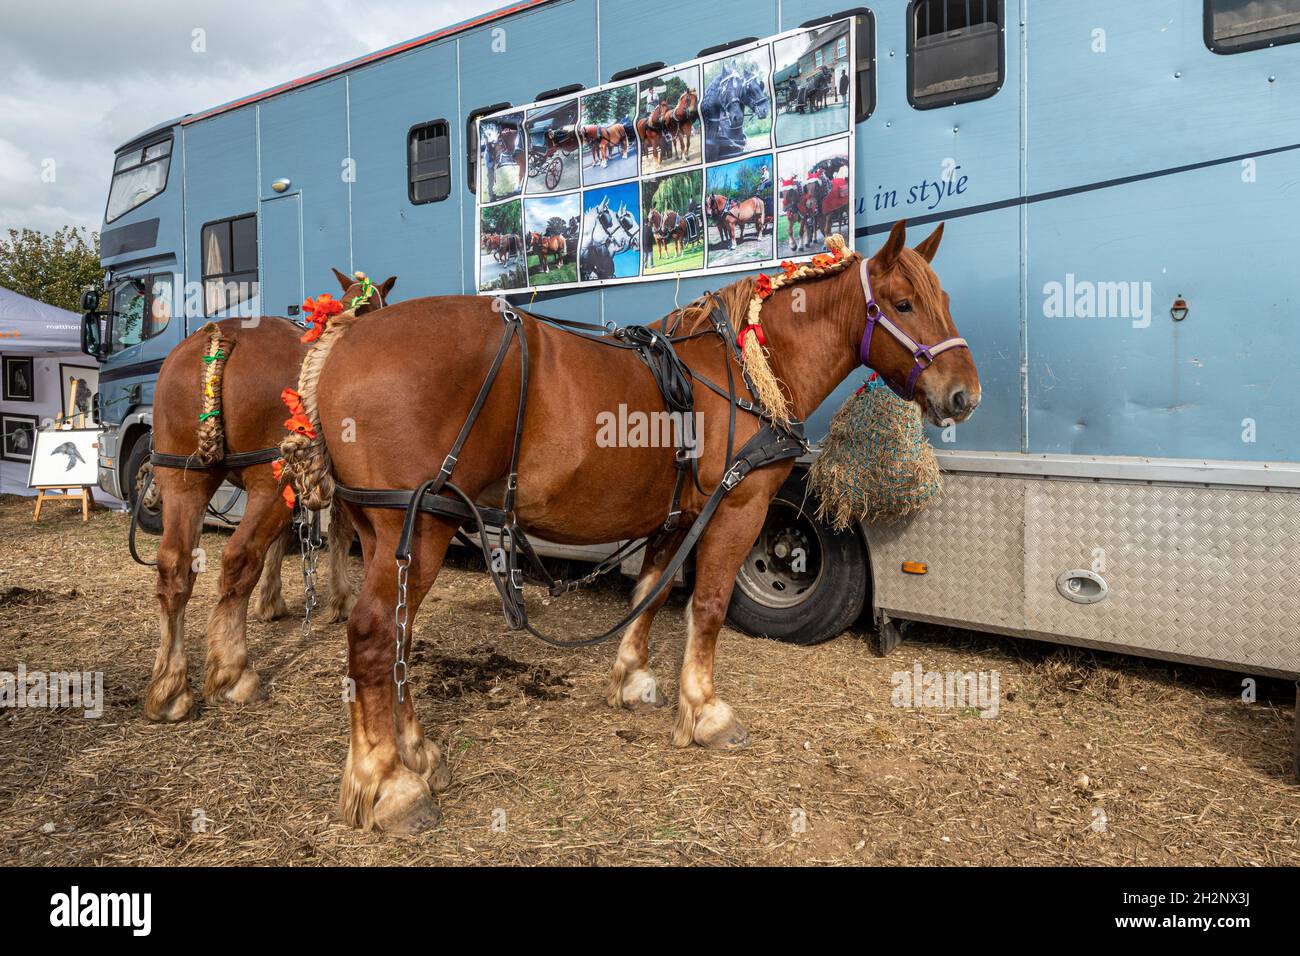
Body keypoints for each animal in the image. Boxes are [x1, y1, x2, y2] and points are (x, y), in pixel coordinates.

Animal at [142, 269, 394, 722]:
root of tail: (219, 341)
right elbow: (341, 534)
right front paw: (340, 600)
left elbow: (283, 539)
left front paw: (271, 601)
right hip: (268, 480)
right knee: (238, 559)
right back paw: (233, 672)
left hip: (183, 480)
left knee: (174, 566)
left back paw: (170, 686)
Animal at [287, 219, 979, 832]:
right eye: (903, 303)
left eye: (945, 301)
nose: (964, 395)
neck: (745, 368)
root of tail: (344, 343)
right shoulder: (739, 507)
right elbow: (708, 605)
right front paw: (704, 710)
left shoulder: (675, 514)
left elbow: (653, 589)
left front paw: (634, 676)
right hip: (419, 527)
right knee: (375, 633)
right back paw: (388, 782)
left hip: (388, 532)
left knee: (398, 635)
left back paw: (413, 752)